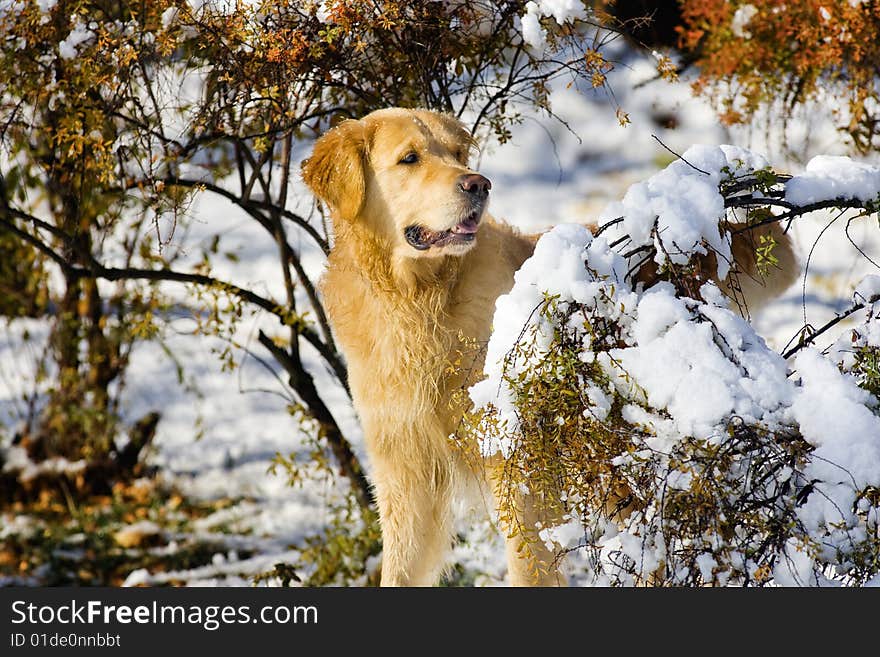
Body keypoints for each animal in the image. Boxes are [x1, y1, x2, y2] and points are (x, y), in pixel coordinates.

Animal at [300, 106, 796, 584]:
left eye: (458, 154)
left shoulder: (517, 468)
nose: (478, 184)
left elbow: (528, 567)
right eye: (409, 158)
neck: (419, 302)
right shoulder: (406, 475)